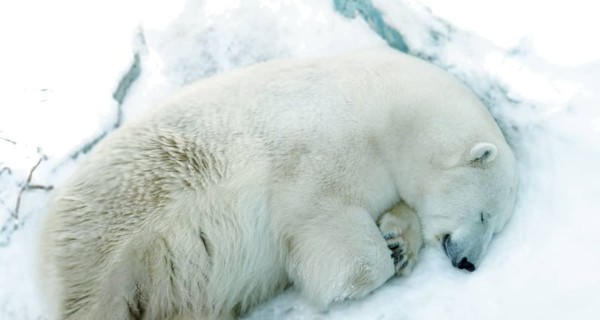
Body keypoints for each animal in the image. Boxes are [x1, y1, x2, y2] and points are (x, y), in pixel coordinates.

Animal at [38, 46, 516, 318]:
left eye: (497, 226)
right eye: (485, 215)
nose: (469, 263)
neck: (391, 110)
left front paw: (398, 243)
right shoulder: (320, 145)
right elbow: (323, 220)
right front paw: (360, 273)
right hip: (116, 230)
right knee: (94, 299)